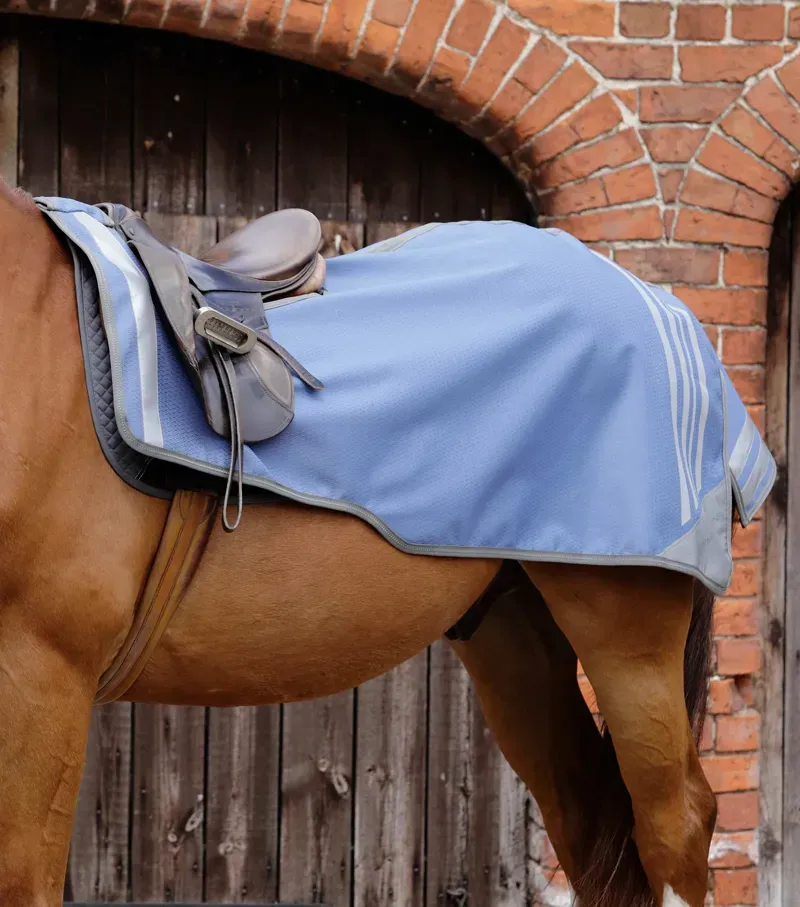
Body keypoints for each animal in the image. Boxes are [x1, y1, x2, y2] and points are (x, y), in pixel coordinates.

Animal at [0, 178, 759, 907]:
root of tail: (665, 310)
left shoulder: (42, 668)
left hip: (628, 635)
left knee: (674, 825)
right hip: (513, 634)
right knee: (589, 819)